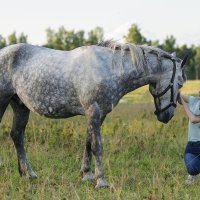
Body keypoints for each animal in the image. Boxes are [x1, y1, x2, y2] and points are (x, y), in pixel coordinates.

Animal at [0, 40, 187, 188]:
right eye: (179, 83)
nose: (167, 115)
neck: (109, 68)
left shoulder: (99, 114)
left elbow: (88, 143)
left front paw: (87, 175)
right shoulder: (94, 111)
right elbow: (97, 145)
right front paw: (101, 181)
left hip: (20, 106)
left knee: (17, 135)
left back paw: (28, 173)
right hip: (4, 101)